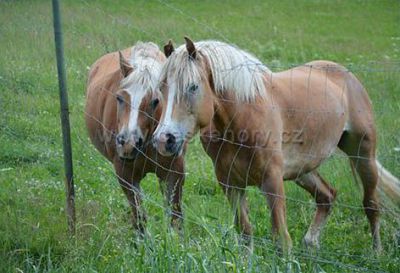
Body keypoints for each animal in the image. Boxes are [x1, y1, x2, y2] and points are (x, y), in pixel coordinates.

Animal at [86, 42, 186, 232]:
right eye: (119, 98)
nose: (128, 143)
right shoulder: (126, 175)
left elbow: (175, 219)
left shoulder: (174, 172)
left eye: (155, 101)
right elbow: (140, 220)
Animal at [152, 37, 398, 252]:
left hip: (363, 156)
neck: (242, 118)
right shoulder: (231, 184)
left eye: (193, 87)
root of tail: (344, 74)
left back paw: (377, 253)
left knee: (371, 204)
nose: (164, 139)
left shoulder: (271, 180)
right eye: (162, 88)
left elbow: (281, 240)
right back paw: (311, 244)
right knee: (327, 197)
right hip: (302, 170)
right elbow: (245, 233)